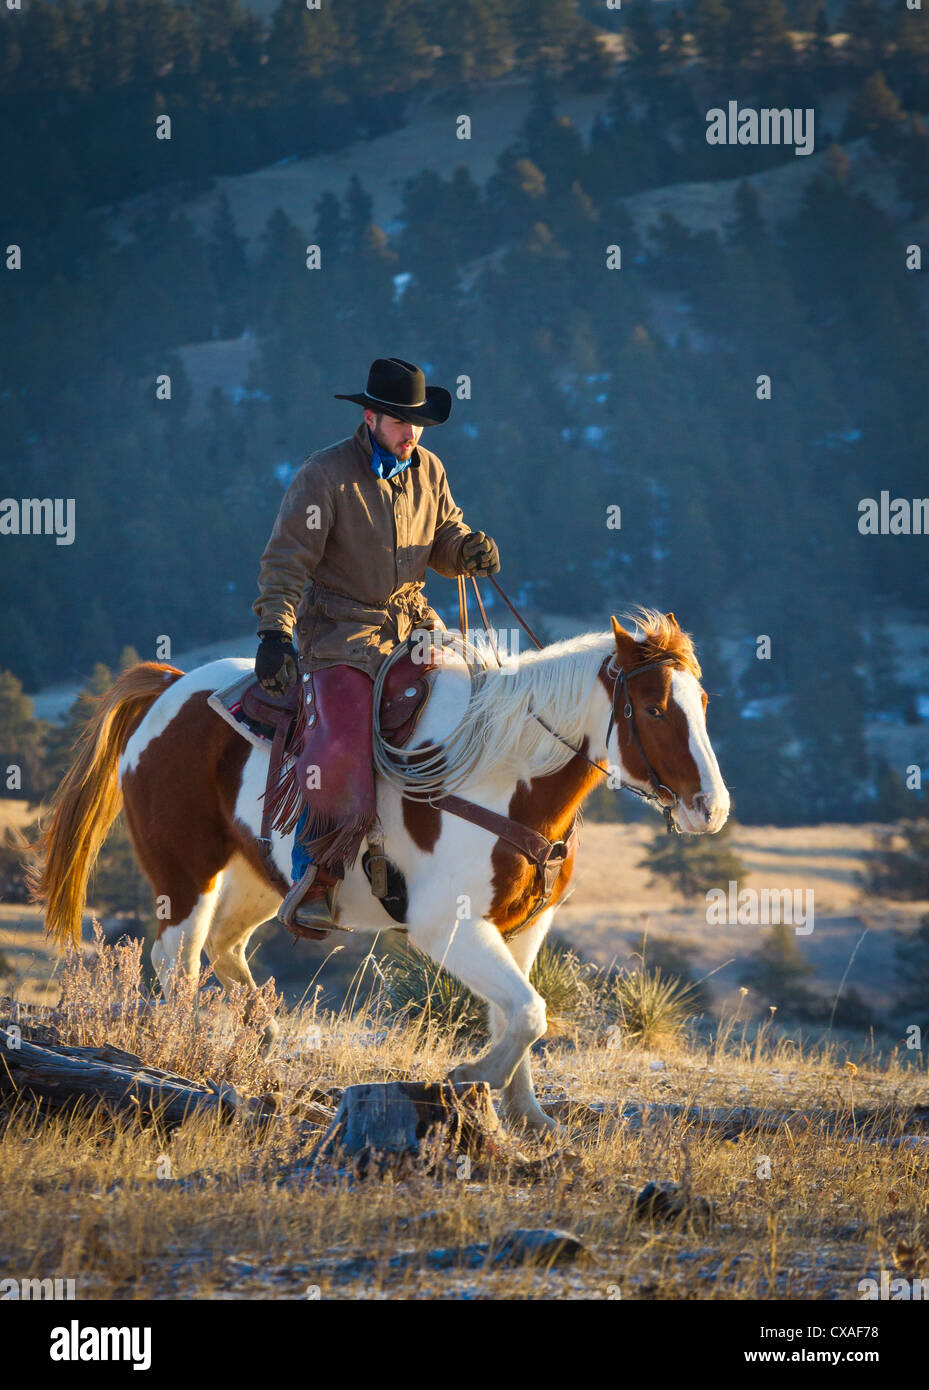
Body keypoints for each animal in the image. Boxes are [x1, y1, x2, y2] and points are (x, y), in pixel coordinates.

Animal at [29, 608, 728, 1128]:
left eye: (702, 702)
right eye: (656, 708)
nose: (712, 808)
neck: (504, 773)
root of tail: (173, 685)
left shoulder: (524, 927)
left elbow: (519, 1011)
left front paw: (526, 1114)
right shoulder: (448, 928)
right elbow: (530, 1012)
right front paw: (471, 1076)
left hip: (262, 878)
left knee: (226, 947)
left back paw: (264, 1041)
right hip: (185, 873)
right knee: (179, 960)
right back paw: (189, 1055)